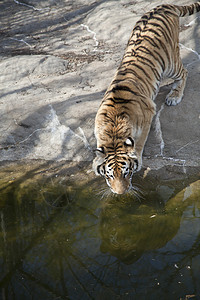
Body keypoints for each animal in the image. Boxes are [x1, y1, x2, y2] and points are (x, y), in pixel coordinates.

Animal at [92, 2, 200, 195]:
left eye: (126, 173)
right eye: (110, 175)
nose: (120, 193)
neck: (113, 131)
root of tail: (164, 6)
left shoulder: (148, 115)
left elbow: (140, 143)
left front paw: (139, 159)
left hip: (170, 63)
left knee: (184, 72)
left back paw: (174, 96)